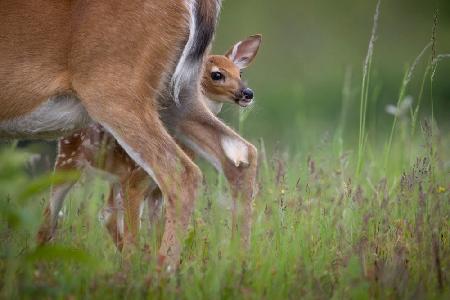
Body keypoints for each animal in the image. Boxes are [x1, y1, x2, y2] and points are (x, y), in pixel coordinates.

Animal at [0, 0, 258, 270]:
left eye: (240, 73)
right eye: (217, 74)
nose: (247, 93)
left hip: (115, 90)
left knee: (179, 173)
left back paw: (159, 272)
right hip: (175, 96)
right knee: (240, 153)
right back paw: (238, 264)